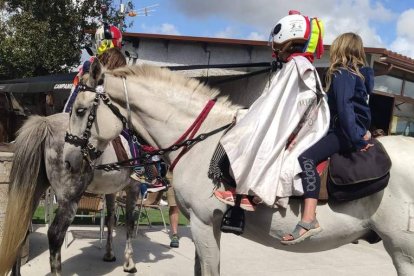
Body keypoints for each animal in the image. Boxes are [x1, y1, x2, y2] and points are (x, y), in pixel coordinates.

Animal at [0, 113, 141, 274]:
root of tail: (46, 122)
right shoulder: (134, 187)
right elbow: (129, 223)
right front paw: (129, 264)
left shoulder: (111, 191)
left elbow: (110, 220)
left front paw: (109, 254)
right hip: (69, 201)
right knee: (55, 234)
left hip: (32, 194)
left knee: (20, 232)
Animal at [62, 61, 414, 276]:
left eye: (80, 110)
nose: (67, 159)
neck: (200, 139)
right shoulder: (206, 226)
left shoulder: (204, 223)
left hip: (403, 252)